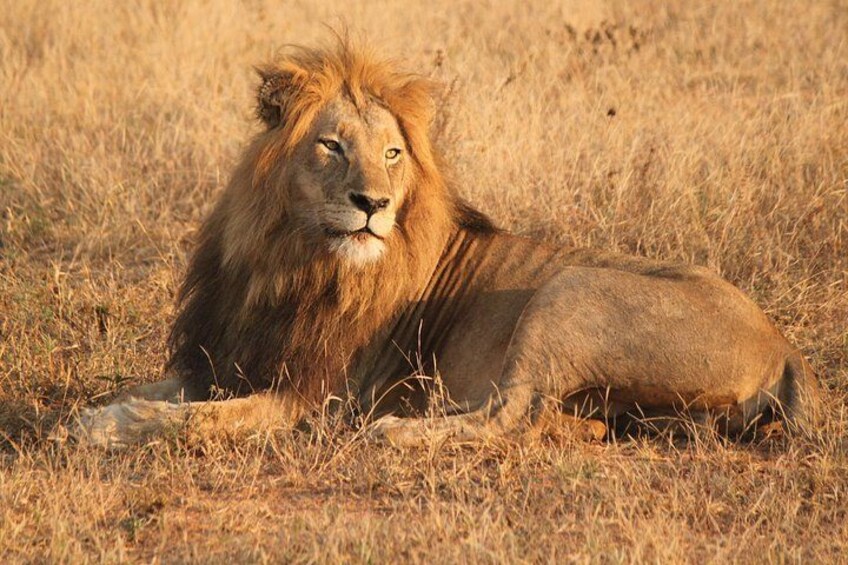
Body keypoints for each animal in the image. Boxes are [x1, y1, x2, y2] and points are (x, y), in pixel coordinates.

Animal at [77, 40, 818, 449]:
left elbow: (194, 419)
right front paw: (89, 413)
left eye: (393, 153)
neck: (288, 262)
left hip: (569, 290)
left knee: (508, 415)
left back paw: (394, 431)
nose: (373, 204)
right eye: (332, 145)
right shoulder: (226, 357)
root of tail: (783, 345)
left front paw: (111, 427)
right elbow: (162, 391)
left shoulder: (308, 397)